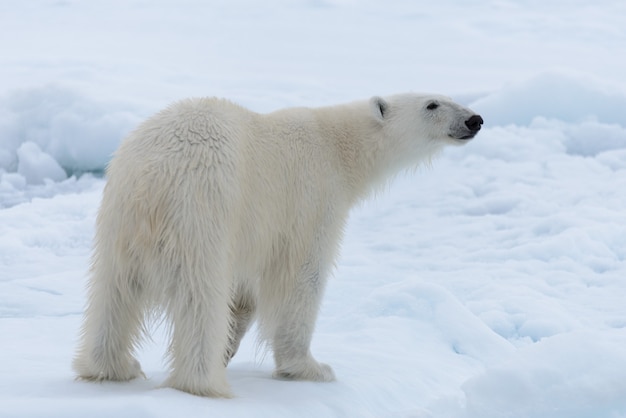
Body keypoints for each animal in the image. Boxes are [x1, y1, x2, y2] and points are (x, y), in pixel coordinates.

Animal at [73, 93, 482, 396]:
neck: (337, 147)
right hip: (204, 212)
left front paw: (231, 348)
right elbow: (301, 279)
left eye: (452, 97)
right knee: (200, 297)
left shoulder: (258, 231)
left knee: (113, 294)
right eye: (432, 104)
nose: (475, 120)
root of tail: (152, 179)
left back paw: (114, 367)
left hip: (118, 224)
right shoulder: (309, 202)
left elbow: (245, 296)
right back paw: (204, 382)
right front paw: (310, 368)